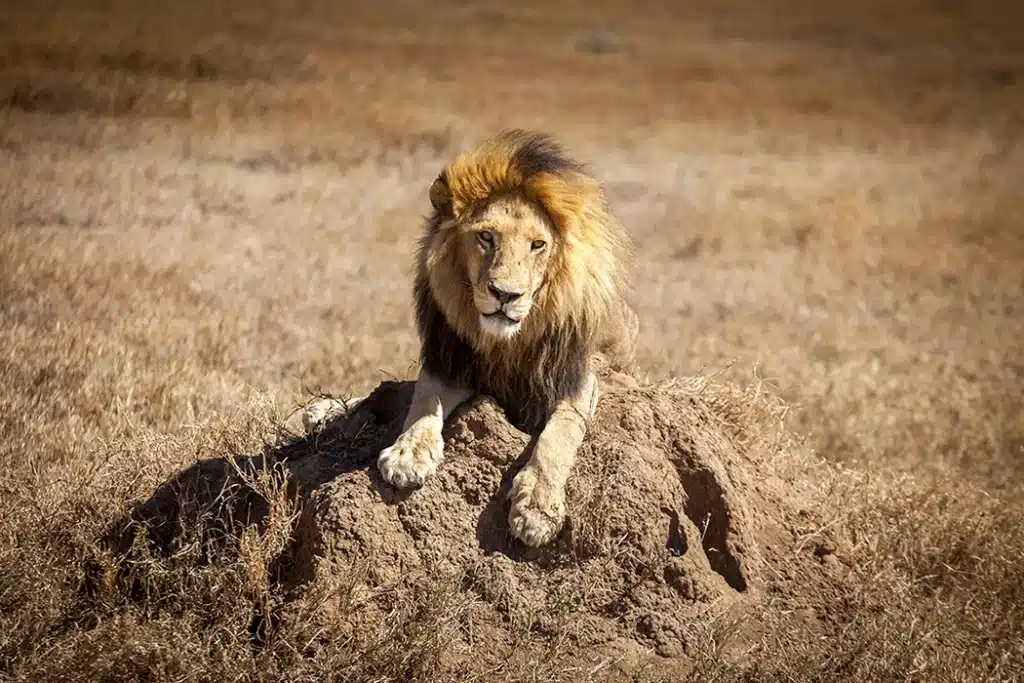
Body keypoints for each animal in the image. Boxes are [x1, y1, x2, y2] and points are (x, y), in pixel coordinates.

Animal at [303, 130, 638, 547]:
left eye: (538, 245)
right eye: (486, 237)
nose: (505, 294)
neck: (506, 343)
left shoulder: (576, 380)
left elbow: (559, 435)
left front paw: (536, 508)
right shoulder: (450, 361)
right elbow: (423, 398)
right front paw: (408, 454)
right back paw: (322, 410)